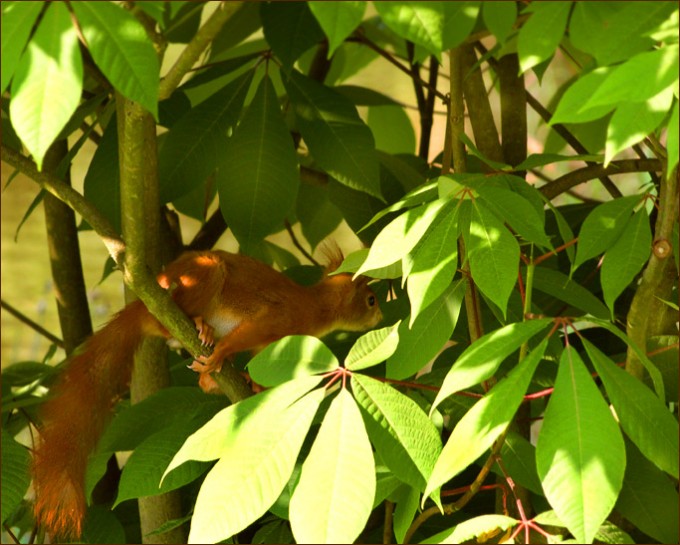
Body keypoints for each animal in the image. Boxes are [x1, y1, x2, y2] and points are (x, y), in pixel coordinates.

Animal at [32, 249, 382, 539]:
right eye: (371, 300)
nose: (380, 317)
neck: (315, 306)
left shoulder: (270, 346)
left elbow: (259, 366)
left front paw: (256, 387)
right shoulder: (278, 317)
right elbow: (249, 333)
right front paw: (226, 353)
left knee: (198, 374)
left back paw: (214, 373)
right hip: (203, 276)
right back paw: (203, 328)